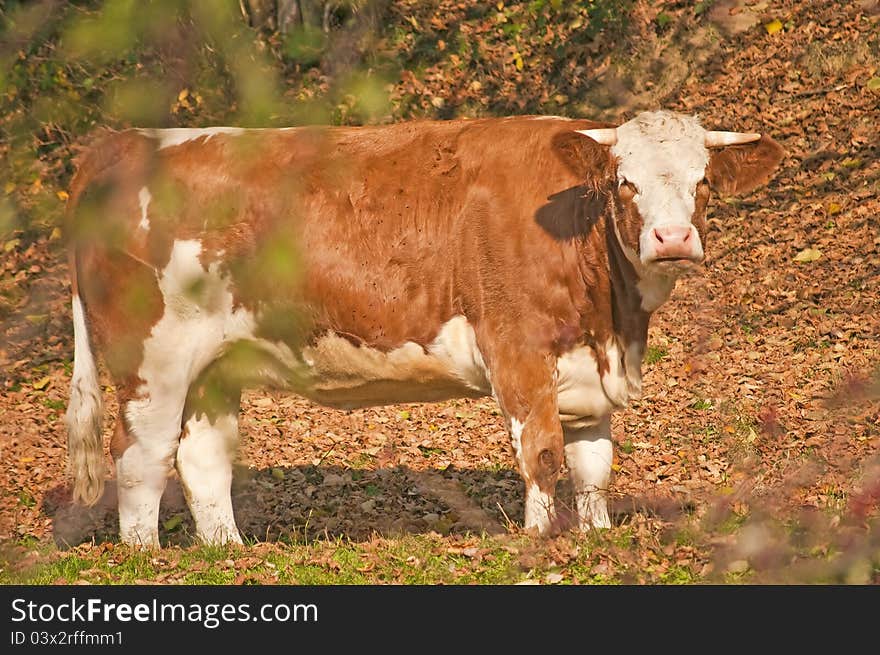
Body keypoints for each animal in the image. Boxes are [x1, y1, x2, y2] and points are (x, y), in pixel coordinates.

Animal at [65, 111, 788, 548]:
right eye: (624, 182)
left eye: (701, 182)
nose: (672, 239)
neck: (613, 322)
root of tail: (121, 142)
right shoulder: (517, 348)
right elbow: (543, 454)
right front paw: (538, 542)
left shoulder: (587, 369)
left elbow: (593, 467)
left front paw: (596, 537)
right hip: (150, 359)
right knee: (140, 458)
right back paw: (149, 555)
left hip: (214, 367)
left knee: (203, 459)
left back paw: (228, 552)